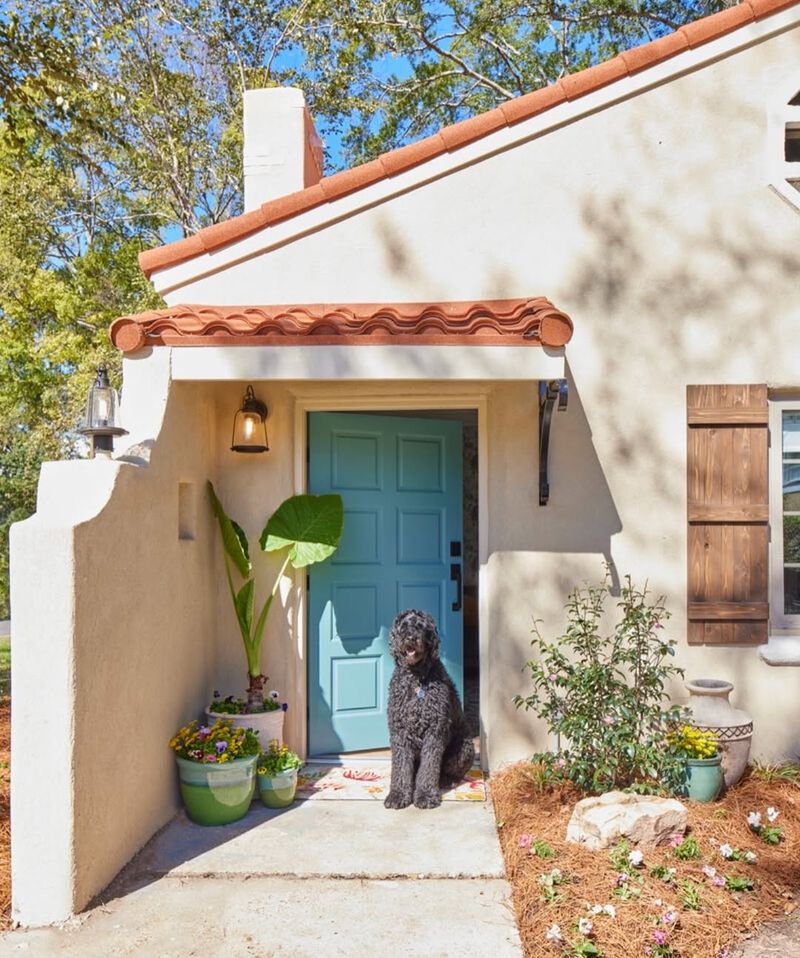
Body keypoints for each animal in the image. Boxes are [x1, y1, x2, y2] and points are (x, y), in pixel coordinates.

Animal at [382, 608, 472, 808]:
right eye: (403, 626)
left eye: (421, 627)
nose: (410, 637)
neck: (416, 678)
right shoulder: (399, 732)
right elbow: (400, 768)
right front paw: (398, 795)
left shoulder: (434, 732)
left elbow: (429, 768)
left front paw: (425, 796)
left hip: (463, 749)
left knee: (450, 771)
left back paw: (446, 781)